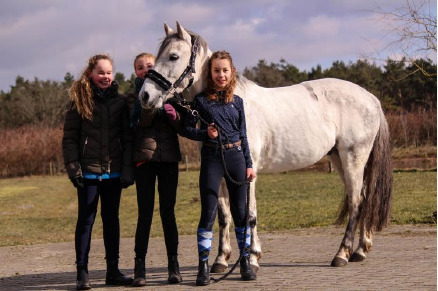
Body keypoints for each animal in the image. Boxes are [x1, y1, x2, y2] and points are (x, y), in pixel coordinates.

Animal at [139, 22, 394, 272]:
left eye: (173, 56)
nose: (145, 95)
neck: (226, 104)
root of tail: (372, 99)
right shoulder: (221, 175)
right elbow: (224, 216)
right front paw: (222, 259)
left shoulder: (247, 173)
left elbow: (249, 215)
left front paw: (252, 257)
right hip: (338, 159)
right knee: (363, 196)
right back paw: (360, 250)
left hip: (353, 158)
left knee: (356, 201)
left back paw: (342, 253)